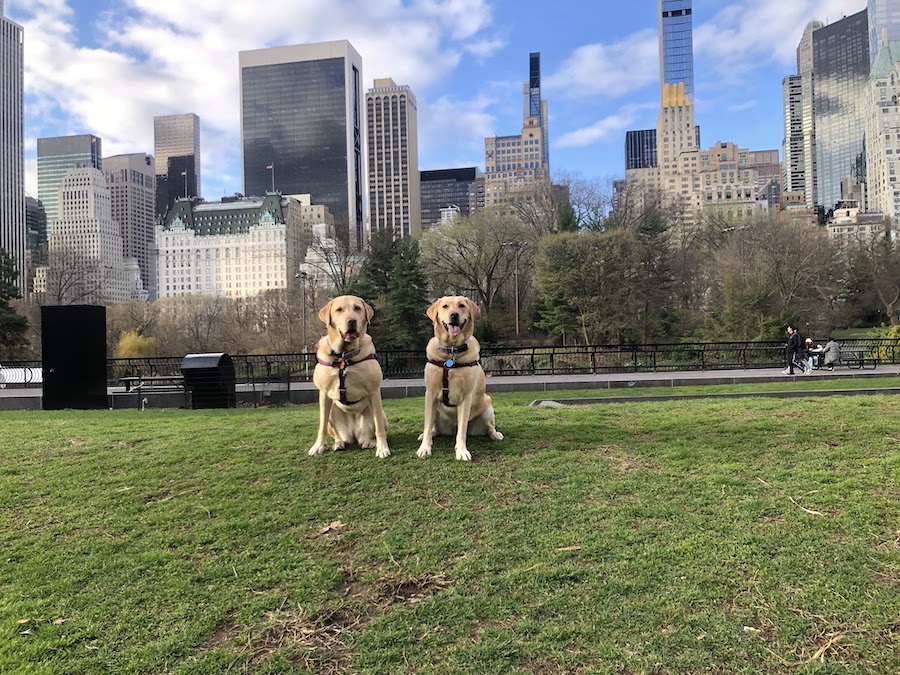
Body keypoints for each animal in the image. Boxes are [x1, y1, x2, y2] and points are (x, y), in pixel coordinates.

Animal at [308, 296, 388, 460]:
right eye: (339, 310)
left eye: (357, 308)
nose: (351, 320)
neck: (343, 356)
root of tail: (354, 435)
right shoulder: (324, 394)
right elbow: (321, 426)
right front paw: (318, 447)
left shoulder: (374, 391)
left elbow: (379, 428)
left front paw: (383, 448)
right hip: (332, 413)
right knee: (336, 433)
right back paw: (339, 443)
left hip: (380, 414)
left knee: (374, 430)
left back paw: (370, 442)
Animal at [416, 294, 502, 460]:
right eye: (445, 306)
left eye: (461, 305)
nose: (454, 315)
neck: (452, 350)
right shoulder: (430, 395)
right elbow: (427, 425)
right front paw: (425, 448)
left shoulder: (466, 397)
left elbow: (462, 431)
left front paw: (462, 451)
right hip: (436, 411)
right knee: (433, 428)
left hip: (488, 408)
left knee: (489, 427)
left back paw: (496, 435)